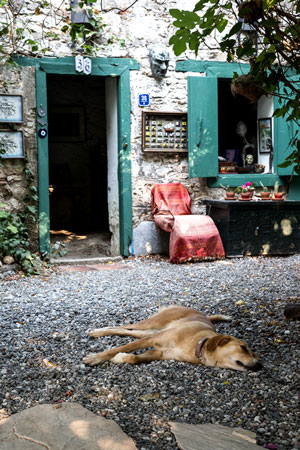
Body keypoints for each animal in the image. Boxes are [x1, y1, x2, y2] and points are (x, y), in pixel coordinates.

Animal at [82, 306, 262, 372]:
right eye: (243, 348)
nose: (260, 366)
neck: (197, 344)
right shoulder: (153, 340)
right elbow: (118, 348)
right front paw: (96, 358)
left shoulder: (159, 352)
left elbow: (134, 358)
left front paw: (121, 358)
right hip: (152, 325)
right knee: (126, 326)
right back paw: (98, 331)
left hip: (148, 332)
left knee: (126, 331)